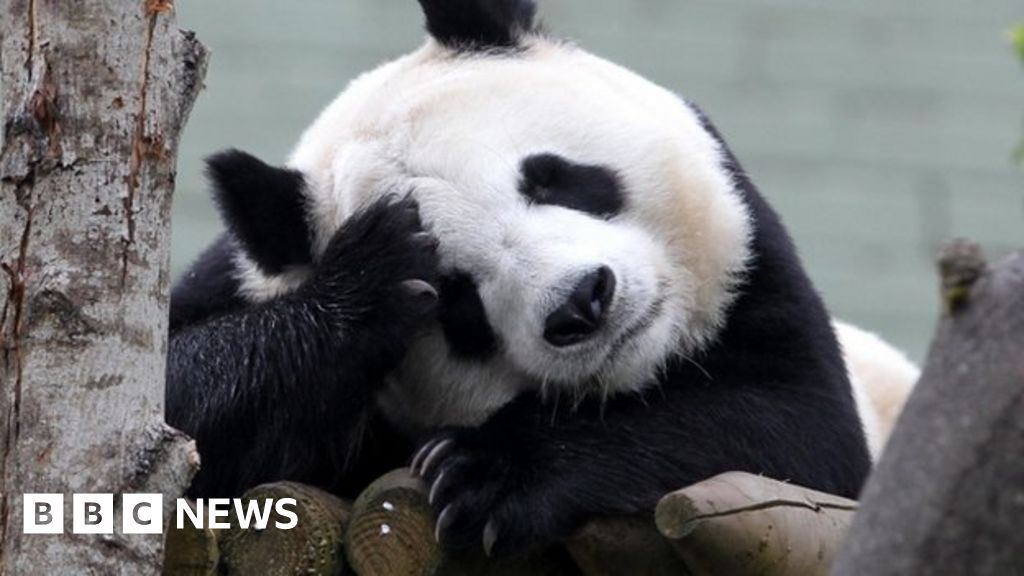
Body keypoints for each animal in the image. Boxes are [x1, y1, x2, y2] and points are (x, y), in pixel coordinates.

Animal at [167, 0, 921, 557]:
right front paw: (369, 279)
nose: (583, 303)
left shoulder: (759, 278)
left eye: (550, 177)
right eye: (457, 296)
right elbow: (177, 402)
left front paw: (486, 473)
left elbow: (796, 428)